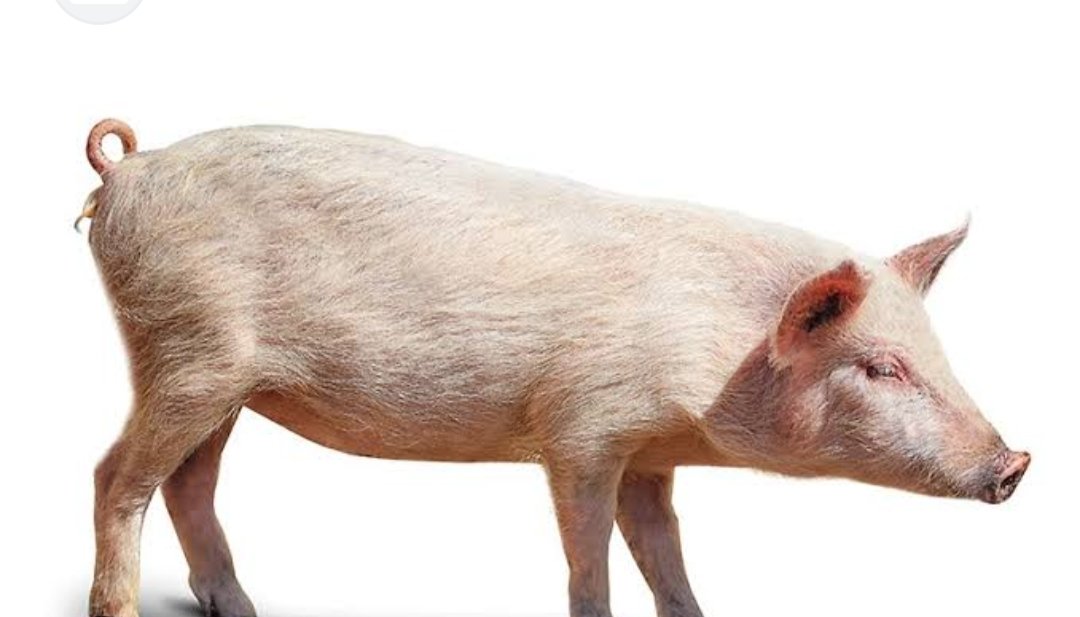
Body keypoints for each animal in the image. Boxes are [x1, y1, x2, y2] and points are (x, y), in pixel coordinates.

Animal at [79, 118, 1030, 617]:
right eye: (878, 367)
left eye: (937, 353)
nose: (1016, 461)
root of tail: (126, 169)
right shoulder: (582, 426)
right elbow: (589, 550)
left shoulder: (652, 455)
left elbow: (663, 547)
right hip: (186, 352)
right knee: (115, 474)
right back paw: (118, 608)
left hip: (229, 381)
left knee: (187, 481)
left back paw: (246, 610)